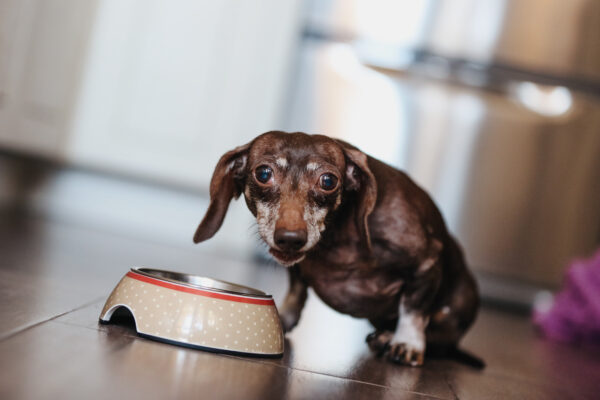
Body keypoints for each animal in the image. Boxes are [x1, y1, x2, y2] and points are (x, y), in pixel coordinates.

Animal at [195, 130, 480, 366]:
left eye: (328, 181)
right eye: (263, 173)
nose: (290, 238)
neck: (335, 238)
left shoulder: (427, 261)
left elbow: (414, 310)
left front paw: (407, 343)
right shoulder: (298, 271)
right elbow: (296, 294)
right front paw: (282, 319)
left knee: (438, 340)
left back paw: (388, 337)